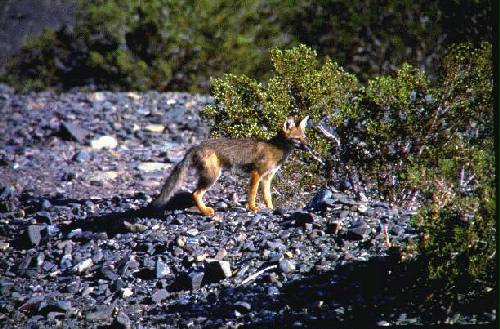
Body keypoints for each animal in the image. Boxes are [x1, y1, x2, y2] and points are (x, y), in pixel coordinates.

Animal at [150, 115, 308, 215]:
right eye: (297, 139)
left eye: (304, 138)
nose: (309, 147)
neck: (276, 149)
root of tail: (196, 146)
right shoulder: (256, 173)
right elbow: (252, 194)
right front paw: (253, 208)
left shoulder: (267, 178)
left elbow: (267, 197)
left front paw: (270, 208)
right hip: (212, 177)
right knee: (195, 193)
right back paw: (206, 211)